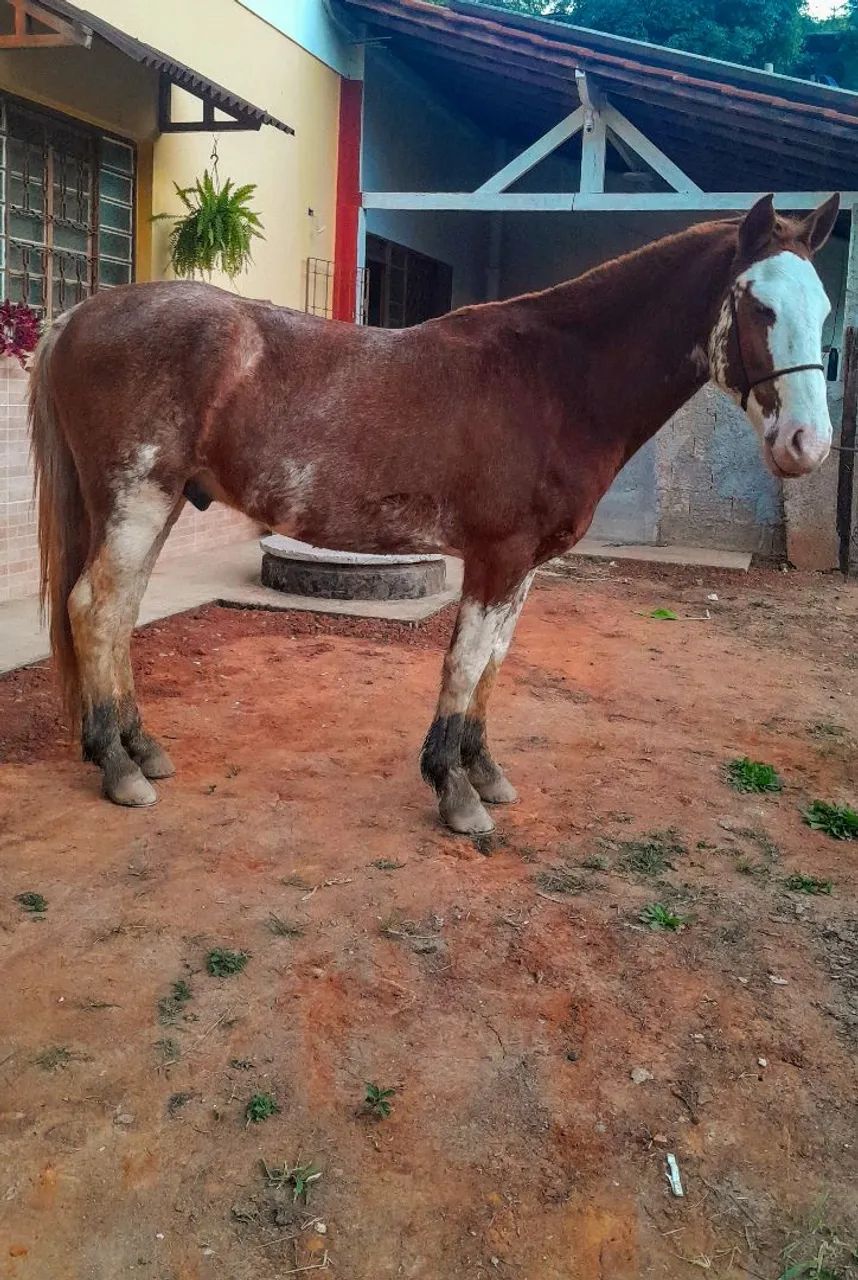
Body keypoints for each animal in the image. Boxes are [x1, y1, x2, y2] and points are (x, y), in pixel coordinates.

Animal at [30, 192, 839, 834]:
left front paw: (484, 772)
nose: (809, 444)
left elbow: (494, 663)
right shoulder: (496, 556)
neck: (553, 380)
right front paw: (455, 792)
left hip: (156, 505)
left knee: (120, 612)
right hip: (137, 500)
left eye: (826, 310)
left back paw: (141, 749)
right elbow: (465, 662)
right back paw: (117, 768)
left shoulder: (523, 567)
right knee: (96, 609)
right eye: (760, 305)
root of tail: (79, 313)